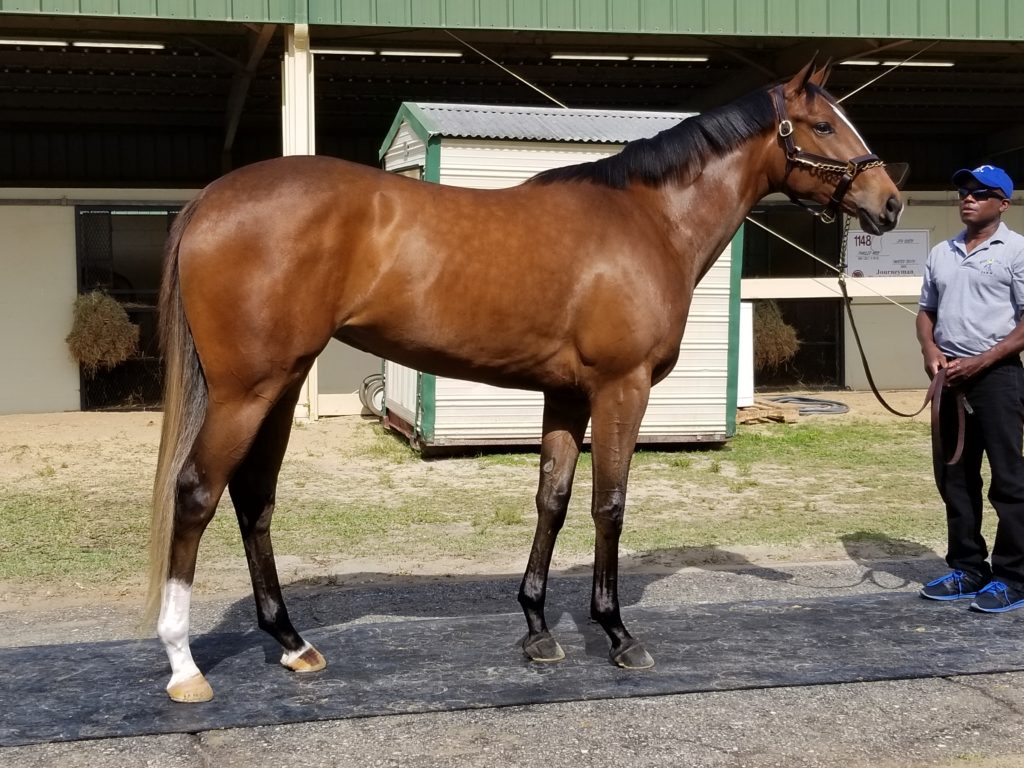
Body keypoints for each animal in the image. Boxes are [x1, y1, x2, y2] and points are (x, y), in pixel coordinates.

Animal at [146, 63, 905, 704]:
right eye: (824, 125)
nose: (890, 203)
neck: (648, 220)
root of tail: (210, 200)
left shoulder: (565, 395)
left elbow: (553, 500)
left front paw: (537, 628)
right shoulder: (622, 389)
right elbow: (609, 505)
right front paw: (617, 634)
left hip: (279, 383)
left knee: (254, 500)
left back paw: (292, 642)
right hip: (247, 390)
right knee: (198, 493)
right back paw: (183, 665)